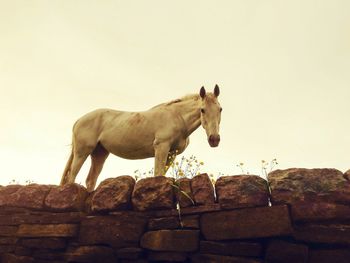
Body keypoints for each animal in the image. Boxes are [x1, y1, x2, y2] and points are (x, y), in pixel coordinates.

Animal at [60, 85, 221, 191]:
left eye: (220, 109)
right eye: (202, 110)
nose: (214, 139)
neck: (177, 117)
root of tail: (79, 120)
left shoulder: (171, 154)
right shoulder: (161, 148)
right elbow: (158, 174)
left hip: (99, 153)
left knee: (91, 180)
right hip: (82, 152)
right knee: (71, 176)